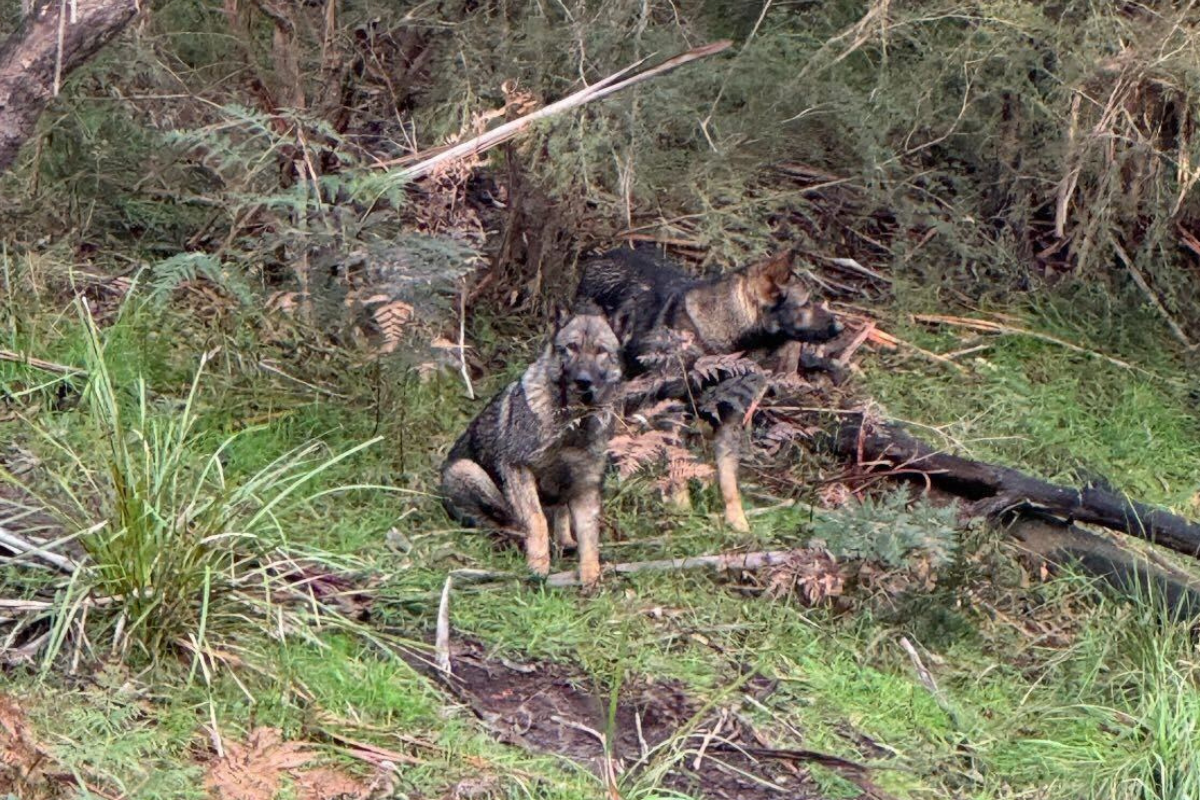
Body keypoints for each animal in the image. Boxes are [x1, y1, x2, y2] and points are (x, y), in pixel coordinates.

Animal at [446, 309, 624, 585]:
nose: (583, 381)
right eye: (571, 347)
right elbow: (536, 519)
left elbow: (589, 536)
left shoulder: (585, 486)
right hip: (468, 471)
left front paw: (590, 575)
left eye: (600, 351)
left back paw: (564, 542)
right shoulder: (517, 469)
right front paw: (539, 564)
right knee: (503, 522)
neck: (573, 423)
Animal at [573, 244, 840, 532]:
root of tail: (601, 256)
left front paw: (738, 522)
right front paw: (682, 509)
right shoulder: (674, 412)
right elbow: (678, 462)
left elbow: (728, 480)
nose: (840, 327)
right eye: (806, 303)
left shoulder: (729, 421)